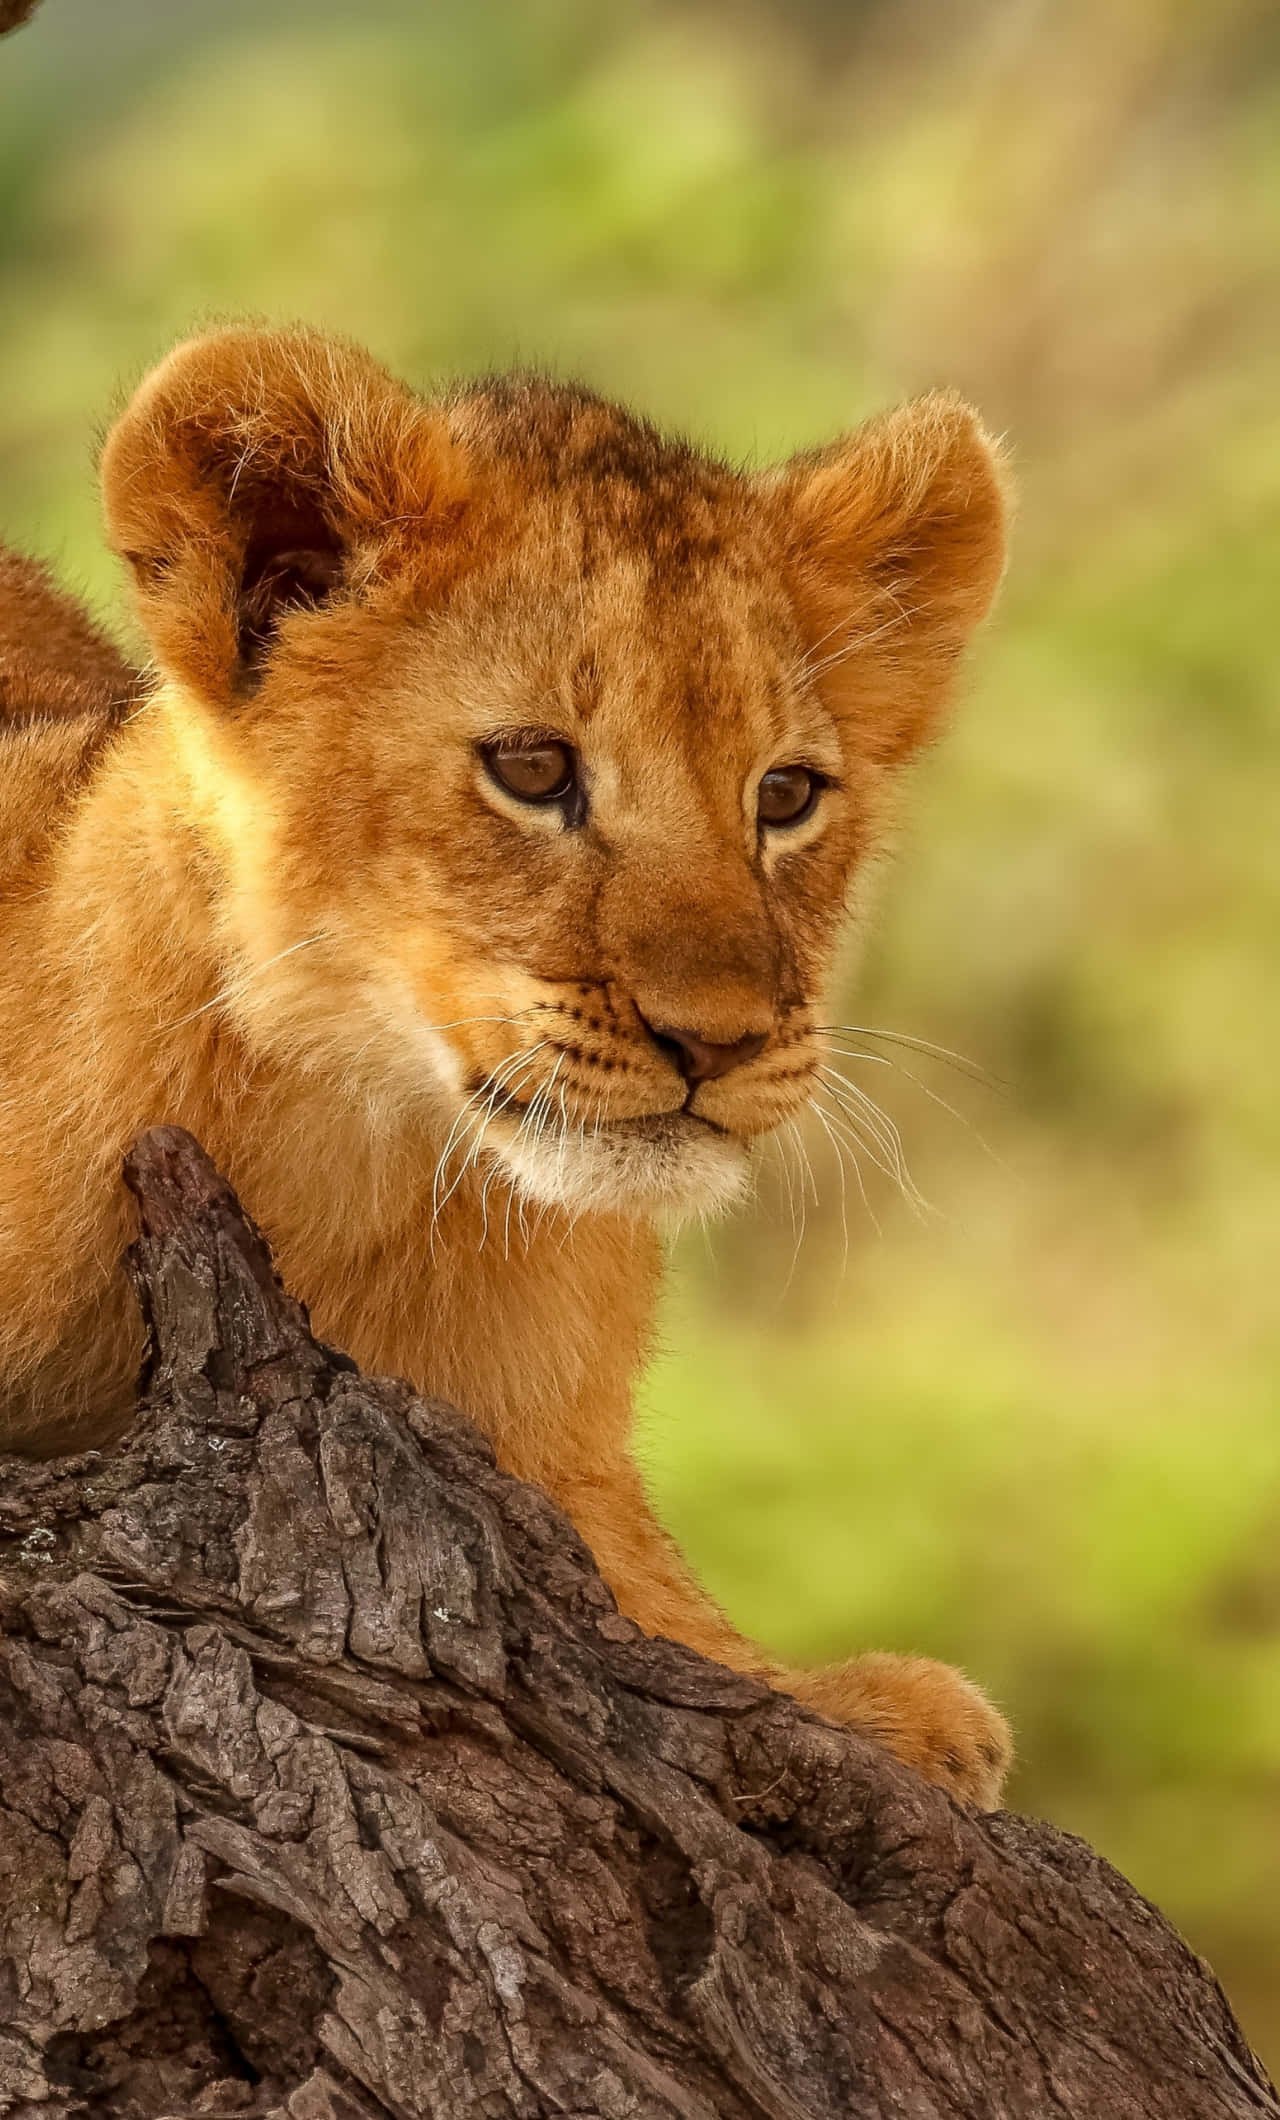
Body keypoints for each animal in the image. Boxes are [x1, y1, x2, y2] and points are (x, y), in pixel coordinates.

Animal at [0, 326, 1012, 1803]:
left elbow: (682, 1620)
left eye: (785, 795)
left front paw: (881, 1714)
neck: (346, 1155)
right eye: (533, 769)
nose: (717, 1038)